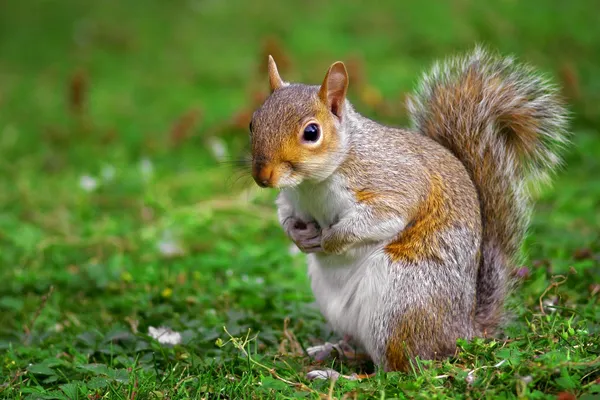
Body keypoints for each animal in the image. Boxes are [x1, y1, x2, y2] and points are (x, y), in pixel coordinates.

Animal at [246, 47, 568, 378]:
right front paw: (299, 237)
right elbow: (285, 215)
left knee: (394, 370)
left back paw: (341, 375)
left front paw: (330, 240)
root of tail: (463, 331)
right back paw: (331, 350)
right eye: (253, 123)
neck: (314, 182)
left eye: (312, 132)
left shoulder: (395, 182)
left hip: (401, 300)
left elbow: (384, 215)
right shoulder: (292, 199)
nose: (263, 176)